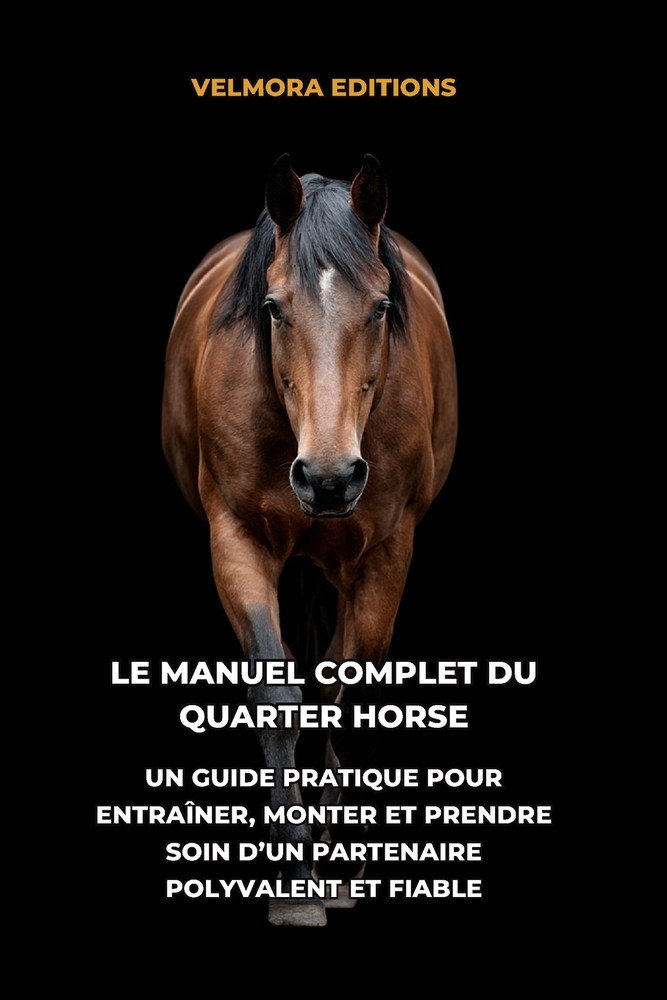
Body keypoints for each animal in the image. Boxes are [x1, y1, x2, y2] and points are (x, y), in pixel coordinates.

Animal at [161, 154, 457, 926]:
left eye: (380, 308)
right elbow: (277, 693)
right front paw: (294, 879)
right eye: (273, 308)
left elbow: (345, 695)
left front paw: (338, 865)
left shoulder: (387, 554)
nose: (328, 478)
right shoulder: (235, 540)